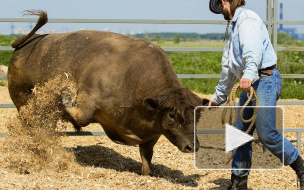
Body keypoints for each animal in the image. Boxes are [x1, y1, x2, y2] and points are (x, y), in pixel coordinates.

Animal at [8, 10, 208, 174]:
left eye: (197, 116)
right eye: (172, 115)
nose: (192, 146)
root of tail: (26, 43)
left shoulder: (153, 133)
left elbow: (146, 154)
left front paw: (147, 173)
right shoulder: (89, 100)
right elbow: (81, 117)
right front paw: (65, 95)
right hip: (22, 100)